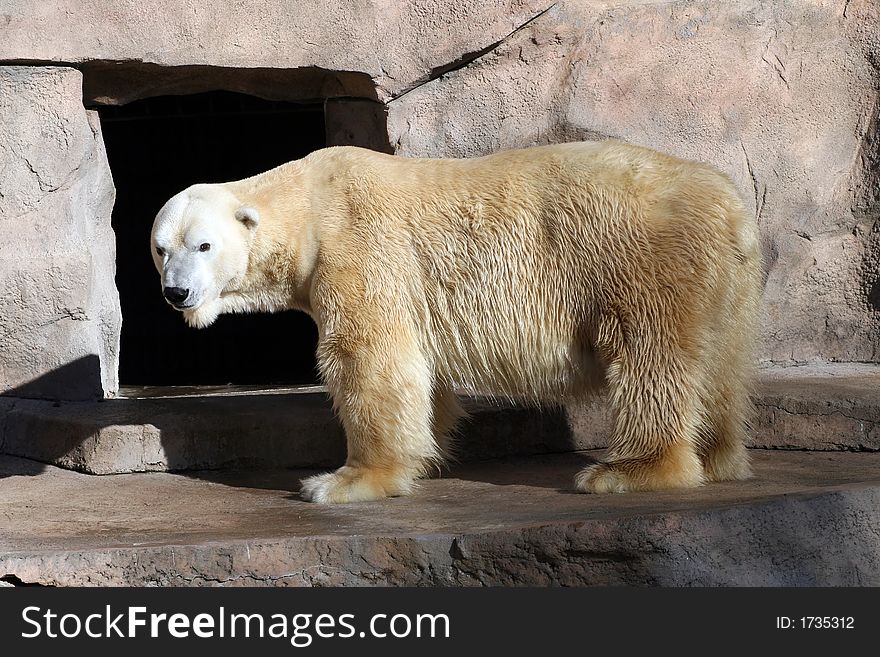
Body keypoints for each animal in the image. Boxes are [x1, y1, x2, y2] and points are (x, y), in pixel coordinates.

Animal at [151, 141, 764, 502]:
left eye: (204, 245)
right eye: (161, 248)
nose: (177, 293)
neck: (310, 202)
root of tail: (730, 208)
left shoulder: (357, 245)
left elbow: (368, 356)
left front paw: (344, 481)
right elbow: (421, 373)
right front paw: (426, 453)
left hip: (637, 257)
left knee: (649, 356)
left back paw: (627, 471)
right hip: (726, 283)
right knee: (720, 366)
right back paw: (720, 457)